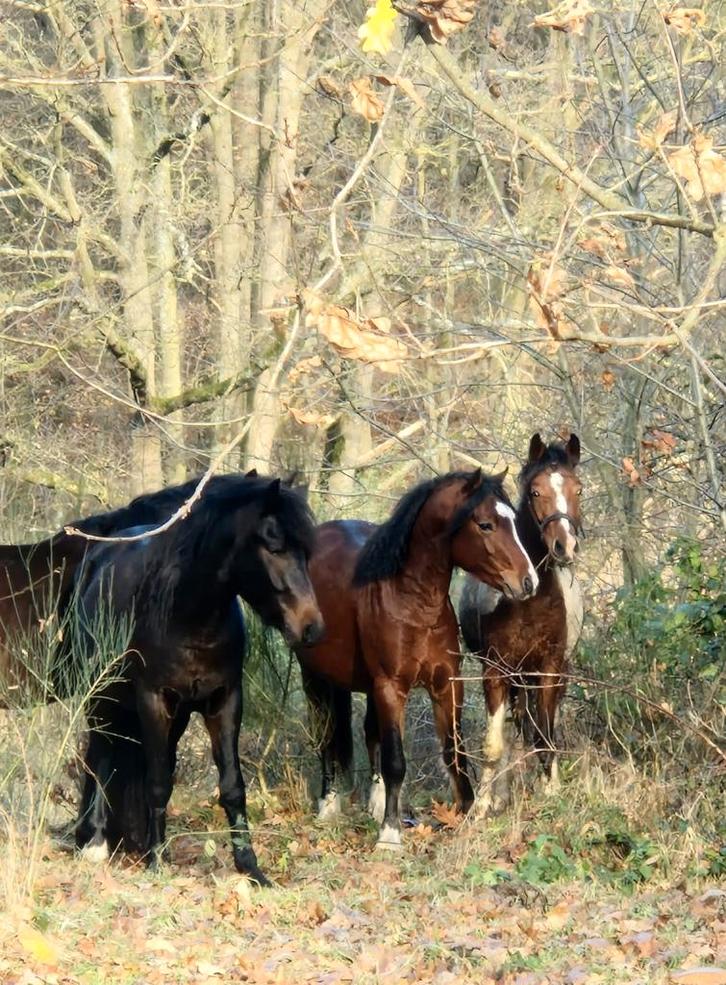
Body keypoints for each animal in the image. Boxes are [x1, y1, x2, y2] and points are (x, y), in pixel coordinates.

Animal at [71, 474, 323, 885]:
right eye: (274, 547)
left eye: (306, 553)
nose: (312, 628)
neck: (188, 617)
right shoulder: (152, 700)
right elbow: (158, 782)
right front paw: (157, 862)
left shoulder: (224, 701)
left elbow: (232, 786)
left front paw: (250, 867)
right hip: (101, 699)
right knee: (100, 755)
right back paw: (94, 841)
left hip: (172, 716)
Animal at [294, 468, 539, 850]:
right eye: (485, 524)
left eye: (512, 520)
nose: (528, 581)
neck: (412, 602)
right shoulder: (392, 687)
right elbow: (396, 761)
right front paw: (390, 835)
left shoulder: (445, 685)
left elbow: (454, 750)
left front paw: (467, 811)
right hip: (315, 677)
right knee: (326, 735)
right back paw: (329, 804)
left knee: (370, 735)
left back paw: (376, 804)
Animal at [458, 433, 583, 814]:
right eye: (535, 492)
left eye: (579, 489)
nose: (564, 547)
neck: (530, 601)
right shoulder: (495, 671)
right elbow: (494, 743)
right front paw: (483, 804)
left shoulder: (550, 668)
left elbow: (545, 734)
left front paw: (552, 790)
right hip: (514, 677)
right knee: (512, 730)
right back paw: (501, 794)